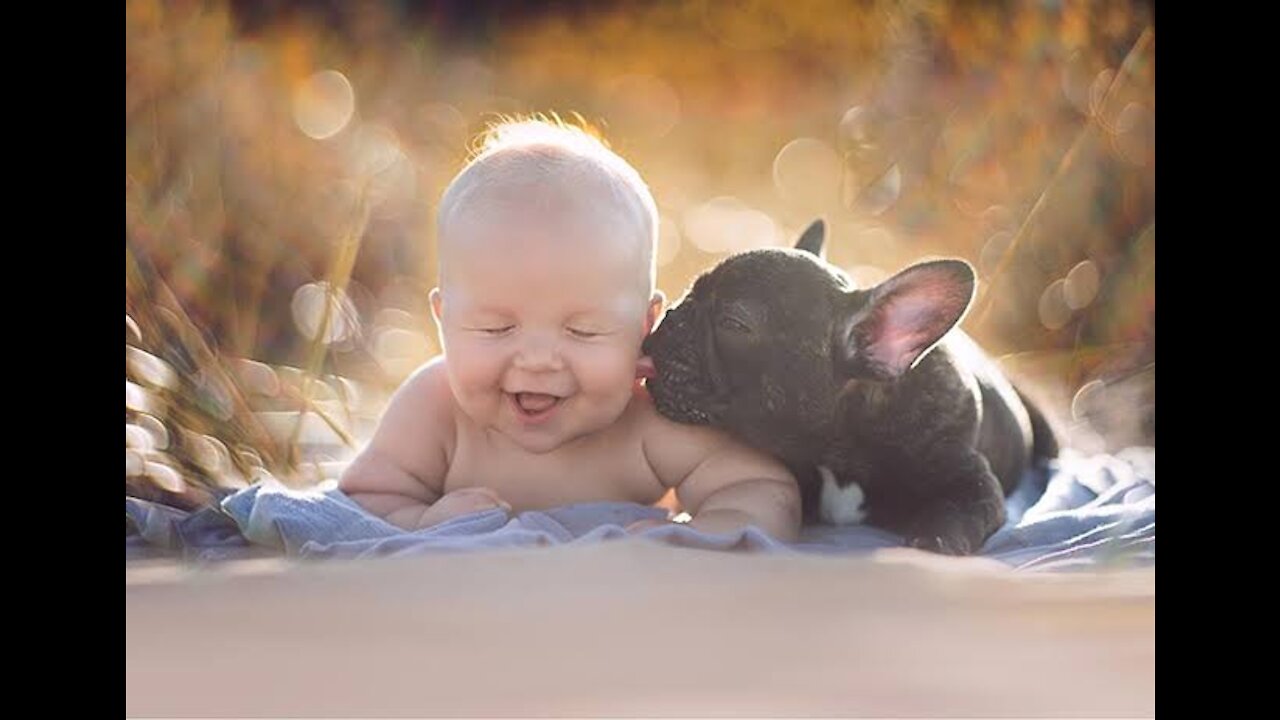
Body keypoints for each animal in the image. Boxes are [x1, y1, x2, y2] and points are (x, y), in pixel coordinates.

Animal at [645, 221, 1054, 550]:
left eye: (733, 323)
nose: (669, 318)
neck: (838, 449)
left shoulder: (973, 482)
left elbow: (958, 513)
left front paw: (933, 542)